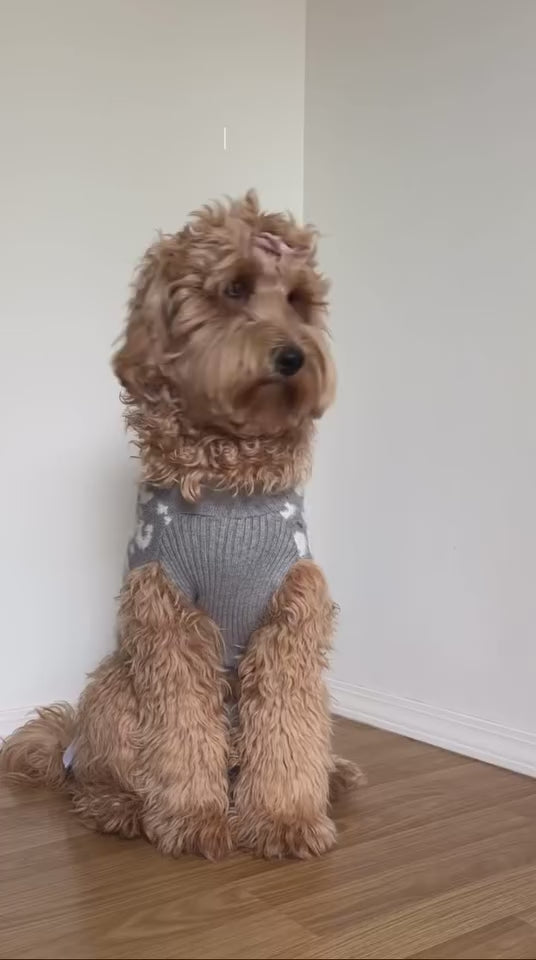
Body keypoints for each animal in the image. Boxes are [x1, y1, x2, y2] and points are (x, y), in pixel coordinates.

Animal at [1, 191, 362, 859]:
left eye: (298, 300)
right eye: (235, 289)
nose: (294, 356)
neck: (229, 481)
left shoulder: (293, 613)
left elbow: (289, 725)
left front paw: (285, 819)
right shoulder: (167, 616)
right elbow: (180, 732)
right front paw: (194, 820)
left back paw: (334, 775)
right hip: (116, 687)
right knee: (94, 774)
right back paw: (119, 806)